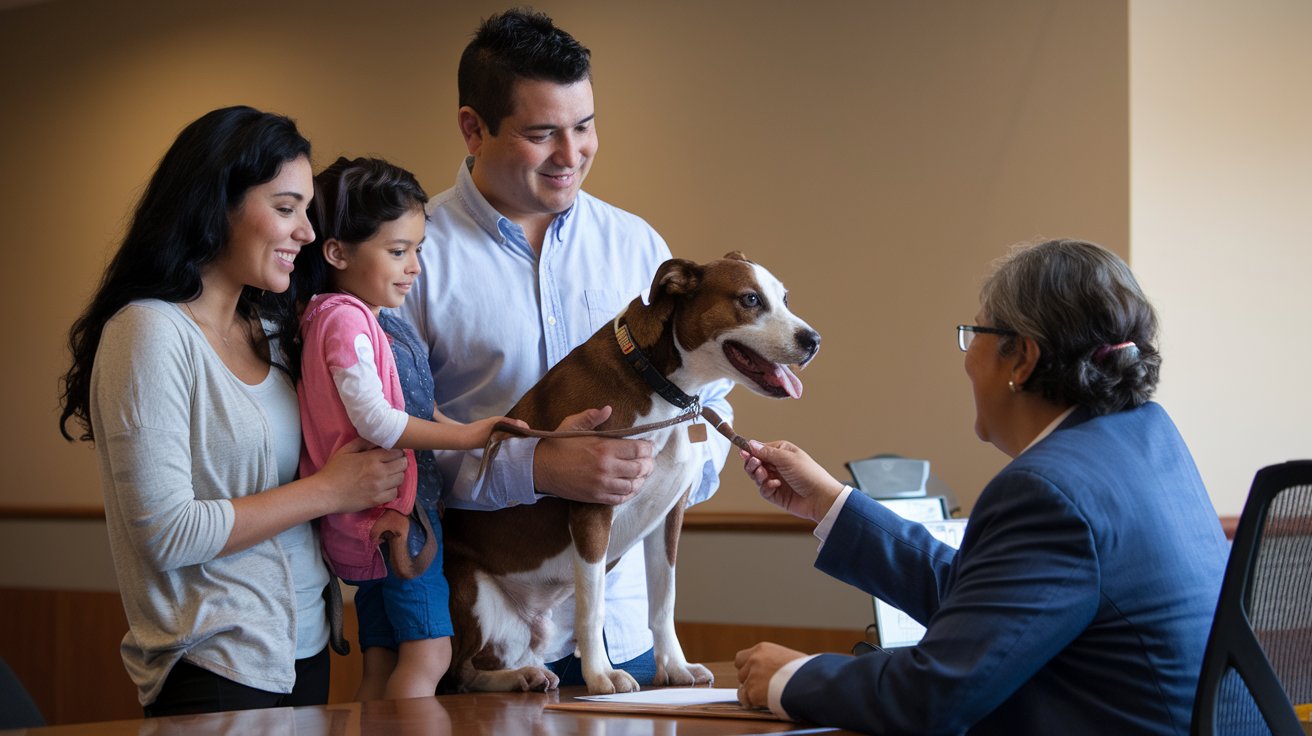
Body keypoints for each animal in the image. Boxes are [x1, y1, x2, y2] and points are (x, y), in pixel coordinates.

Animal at [440, 249, 818, 692]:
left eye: (785, 299)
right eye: (750, 300)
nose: (813, 340)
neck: (658, 382)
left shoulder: (669, 515)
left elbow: (664, 599)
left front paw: (674, 666)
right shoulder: (593, 509)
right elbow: (593, 607)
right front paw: (600, 675)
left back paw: (528, 672)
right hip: (472, 590)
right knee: (462, 671)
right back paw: (519, 676)